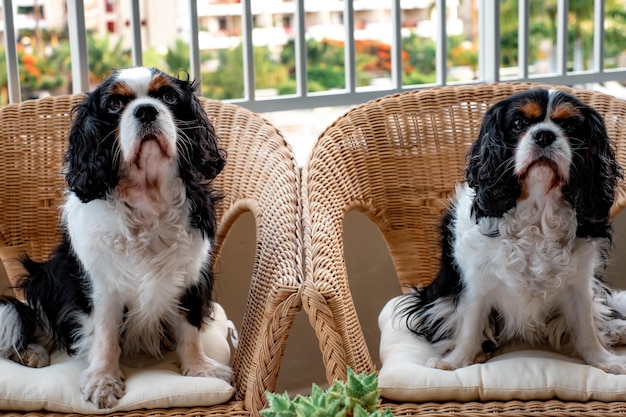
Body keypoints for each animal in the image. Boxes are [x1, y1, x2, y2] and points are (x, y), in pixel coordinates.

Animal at [0, 67, 232, 406]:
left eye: (168, 97)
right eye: (114, 105)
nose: (146, 110)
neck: (147, 198)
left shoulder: (190, 275)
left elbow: (188, 328)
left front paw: (200, 369)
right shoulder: (100, 285)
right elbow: (105, 335)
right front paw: (103, 380)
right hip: (43, 276)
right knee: (36, 321)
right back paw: (32, 352)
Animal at [398, 88, 626, 374]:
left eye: (570, 126)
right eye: (518, 123)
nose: (544, 134)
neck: (538, 210)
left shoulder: (580, 283)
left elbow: (586, 327)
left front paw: (603, 360)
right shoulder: (476, 283)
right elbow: (470, 326)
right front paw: (456, 361)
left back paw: (616, 330)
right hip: (439, 298)